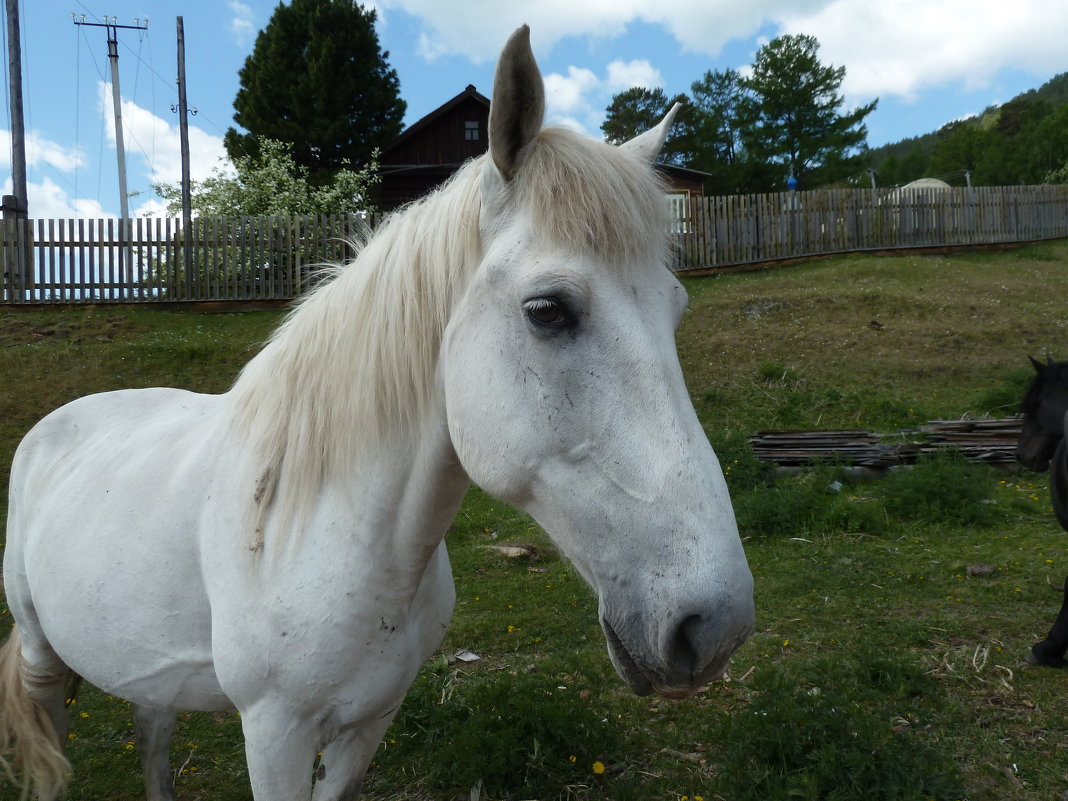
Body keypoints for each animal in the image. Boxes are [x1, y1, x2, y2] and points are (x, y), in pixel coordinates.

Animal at [0, 26, 756, 801]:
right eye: (548, 310)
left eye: (675, 308)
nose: (714, 625)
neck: (326, 528)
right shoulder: (273, 734)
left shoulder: (370, 723)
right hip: (41, 651)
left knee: (152, 729)